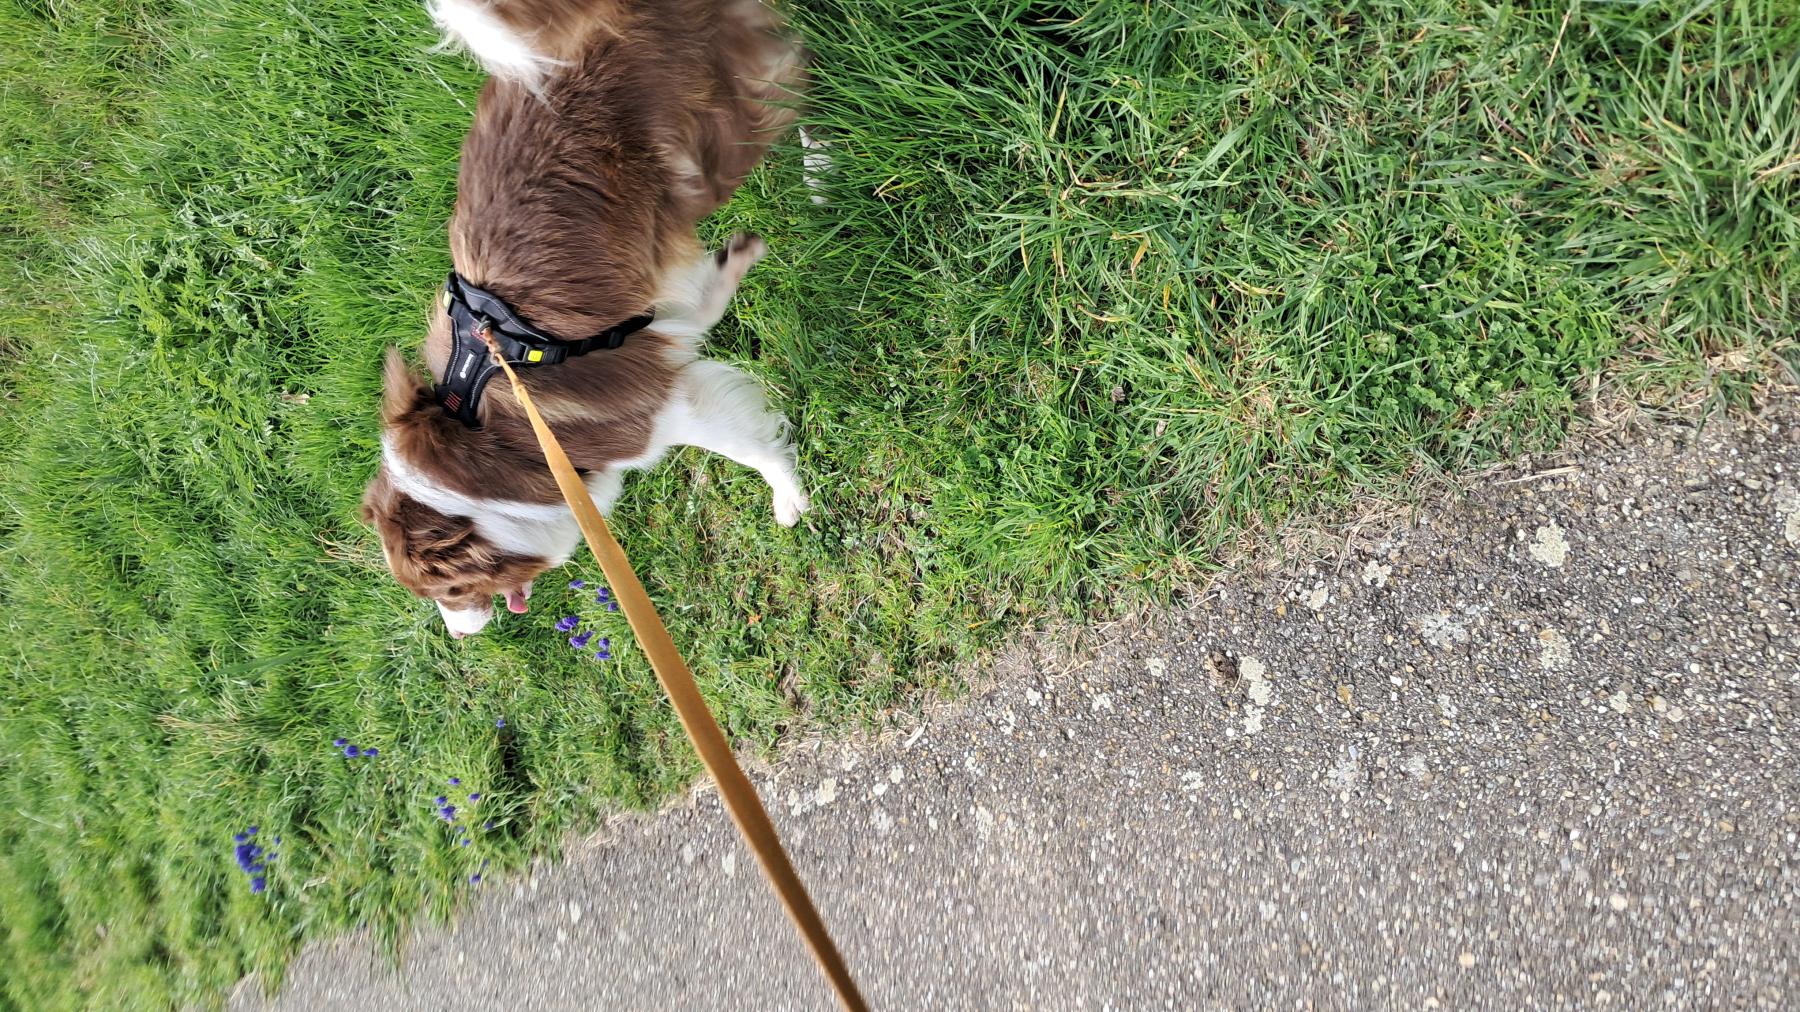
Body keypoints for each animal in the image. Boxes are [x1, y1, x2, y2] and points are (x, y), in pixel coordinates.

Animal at [362, 0, 812, 637]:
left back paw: (824, 159)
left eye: (446, 590)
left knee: (795, 77)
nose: (460, 635)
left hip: (708, 138)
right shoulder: (648, 332)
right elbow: (696, 307)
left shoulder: (661, 411)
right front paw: (733, 265)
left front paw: (787, 496)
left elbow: (748, 448)